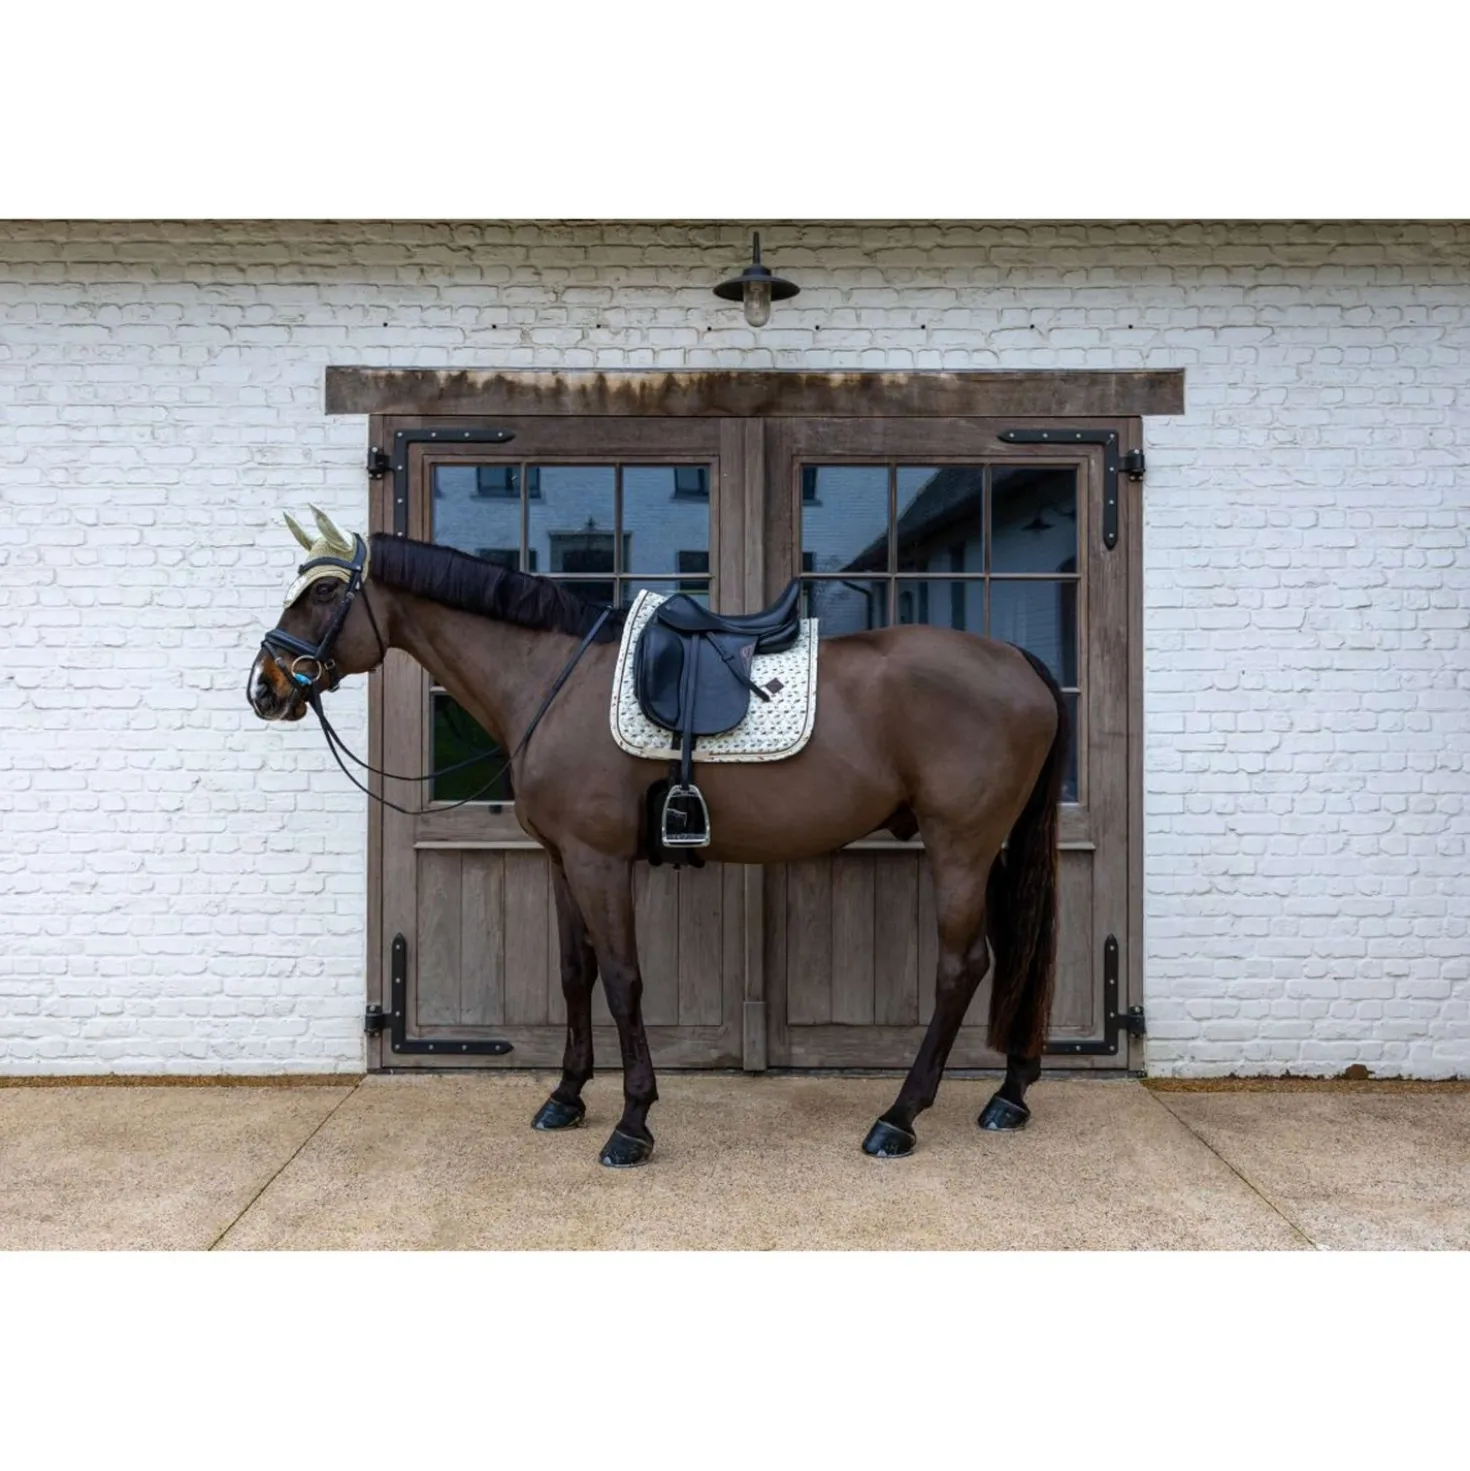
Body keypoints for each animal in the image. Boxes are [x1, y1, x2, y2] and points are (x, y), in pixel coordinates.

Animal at [248, 509, 1067, 1168]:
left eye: (324, 593)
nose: (266, 686)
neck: (552, 678)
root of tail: (1019, 661)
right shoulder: (561, 860)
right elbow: (574, 972)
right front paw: (567, 1097)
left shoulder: (600, 861)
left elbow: (622, 979)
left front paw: (632, 1123)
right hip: (991, 849)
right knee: (1020, 953)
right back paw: (1010, 1094)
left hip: (960, 846)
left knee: (962, 967)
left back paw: (899, 1117)